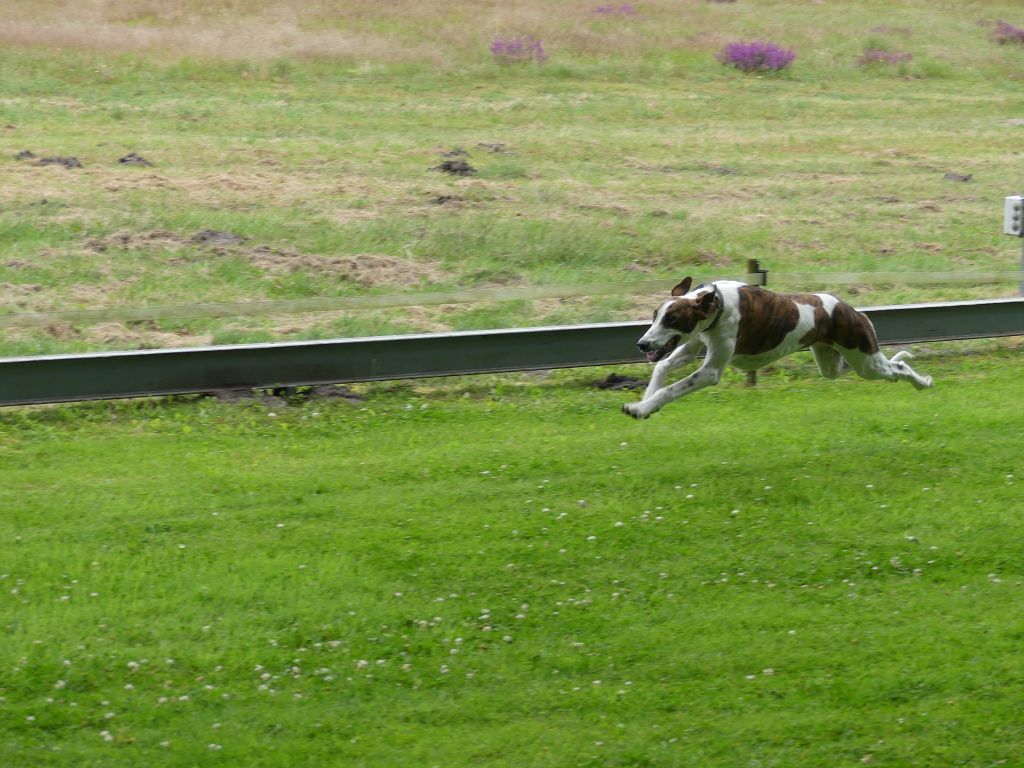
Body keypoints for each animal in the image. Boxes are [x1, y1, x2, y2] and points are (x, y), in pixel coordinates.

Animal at [618, 278, 933, 421]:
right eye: (655, 314)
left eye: (672, 318)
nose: (642, 344)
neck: (716, 303)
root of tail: (852, 310)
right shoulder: (694, 343)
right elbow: (662, 367)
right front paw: (644, 403)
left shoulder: (711, 371)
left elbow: (671, 388)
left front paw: (642, 406)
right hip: (833, 363)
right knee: (885, 367)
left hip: (865, 360)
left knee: (897, 367)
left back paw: (923, 382)